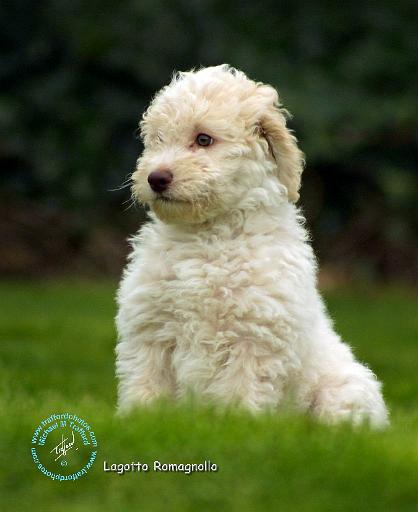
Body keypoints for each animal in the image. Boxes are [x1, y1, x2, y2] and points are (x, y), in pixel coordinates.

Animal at [115, 65, 388, 428]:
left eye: (204, 139)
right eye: (158, 140)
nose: (156, 178)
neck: (209, 234)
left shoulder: (254, 337)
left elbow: (240, 394)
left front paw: (236, 427)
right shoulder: (151, 330)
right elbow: (146, 387)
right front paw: (140, 421)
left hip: (345, 390)